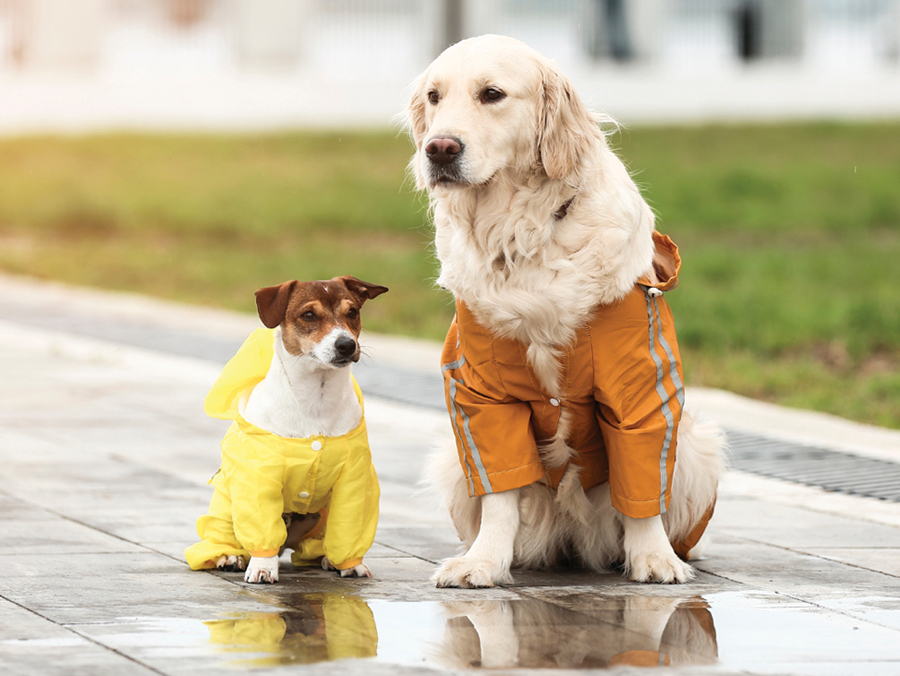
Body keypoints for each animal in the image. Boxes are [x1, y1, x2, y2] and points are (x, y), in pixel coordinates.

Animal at [404, 35, 728, 588]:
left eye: (492, 94)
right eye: (433, 96)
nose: (439, 148)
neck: (524, 236)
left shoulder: (640, 390)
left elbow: (642, 487)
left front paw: (654, 559)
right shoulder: (479, 394)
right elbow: (499, 492)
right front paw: (483, 562)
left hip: (697, 447)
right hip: (451, 459)